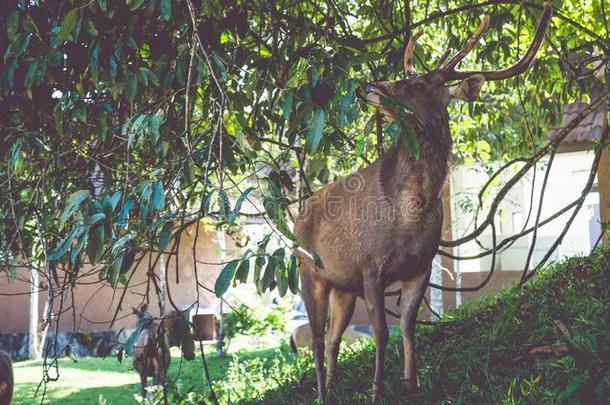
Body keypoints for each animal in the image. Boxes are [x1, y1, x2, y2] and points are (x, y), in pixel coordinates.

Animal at [292, 3, 552, 400]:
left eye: (415, 84)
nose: (369, 86)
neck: (412, 215)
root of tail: (297, 217)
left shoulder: (420, 268)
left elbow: (408, 328)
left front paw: (411, 385)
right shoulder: (370, 265)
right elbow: (381, 333)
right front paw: (377, 393)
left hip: (341, 285)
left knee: (333, 339)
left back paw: (333, 390)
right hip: (308, 269)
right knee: (318, 341)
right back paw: (321, 394)